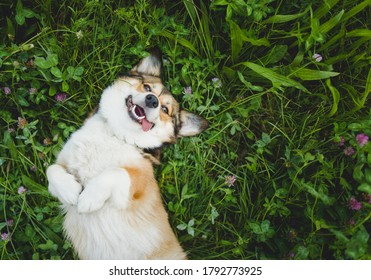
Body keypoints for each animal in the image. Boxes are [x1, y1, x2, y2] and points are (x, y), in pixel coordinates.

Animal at [45, 48, 209, 260]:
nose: (152, 100)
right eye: (147, 87)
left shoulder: (138, 187)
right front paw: (69, 190)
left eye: (165, 110)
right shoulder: (63, 163)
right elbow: (52, 169)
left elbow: (117, 172)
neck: (115, 134)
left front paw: (89, 198)